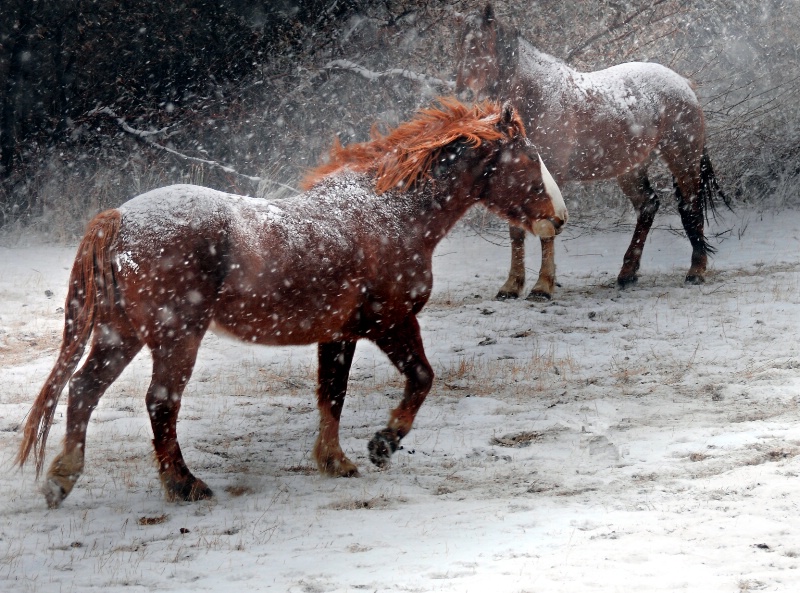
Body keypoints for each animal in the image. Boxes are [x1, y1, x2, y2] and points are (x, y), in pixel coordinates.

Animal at [15, 99, 564, 506]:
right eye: (530, 158)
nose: (557, 218)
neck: (390, 214)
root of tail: (119, 219)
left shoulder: (340, 335)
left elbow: (332, 395)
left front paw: (335, 460)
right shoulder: (391, 322)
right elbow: (422, 378)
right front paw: (382, 444)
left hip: (120, 335)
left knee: (84, 389)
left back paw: (63, 479)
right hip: (175, 338)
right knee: (159, 402)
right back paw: (184, 484)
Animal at [456, 5, 724, 300]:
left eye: (482, 45)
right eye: (459, 45)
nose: (462, 93)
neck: (537, 97)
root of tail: (684, 84)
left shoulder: (551, 177)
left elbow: (546, 231)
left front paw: (542, 287)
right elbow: (516, 231)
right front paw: (511, 286)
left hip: (683, 160)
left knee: (690, 207)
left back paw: (695, 271)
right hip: (631, 169)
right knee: (648, 206)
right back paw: (627, 274)